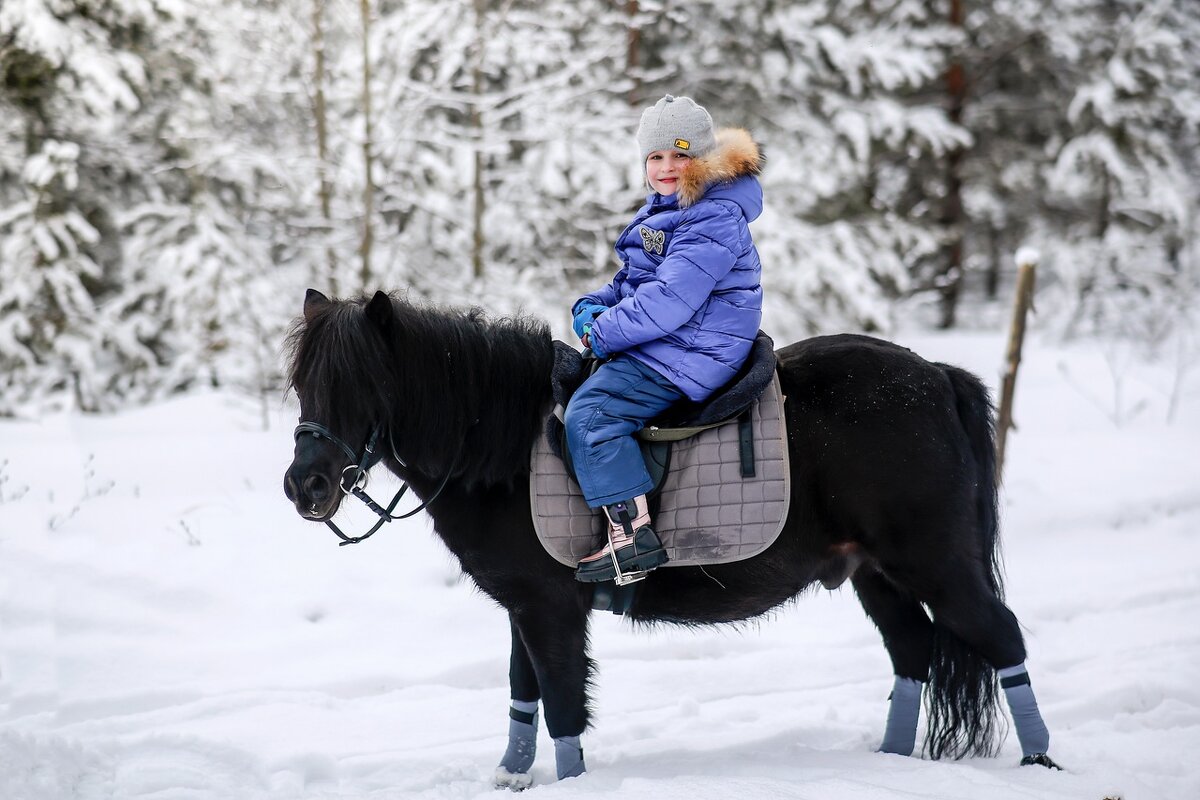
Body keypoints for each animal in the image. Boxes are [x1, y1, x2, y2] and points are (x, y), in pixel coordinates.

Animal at [280, 289, 1051, 786]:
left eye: (363, 384)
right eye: (302, 384)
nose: (303, 487)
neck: (499, 444)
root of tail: (936, 377)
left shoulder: (550, 609)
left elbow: (563, 701)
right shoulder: (526, 607)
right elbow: (525, 694)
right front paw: (510, 776)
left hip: (934, 563)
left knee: (1002, 637)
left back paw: (1041, 761)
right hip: (874, 571)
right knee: (913, 652)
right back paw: (889, 763)